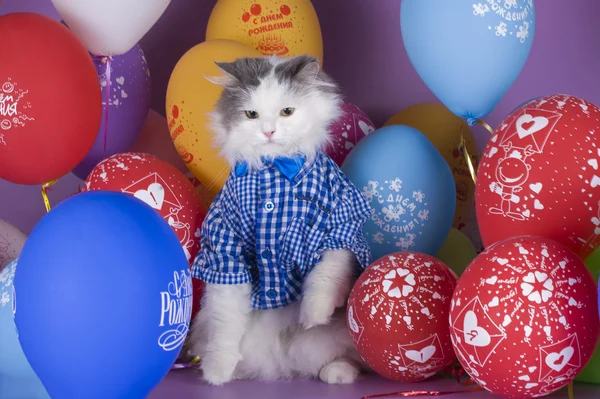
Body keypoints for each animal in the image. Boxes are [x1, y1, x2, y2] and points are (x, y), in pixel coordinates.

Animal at [185, 54, 372, 386]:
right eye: (251, 114)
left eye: (287, 112)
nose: (269, 132)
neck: (275, 172)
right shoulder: (226, 252)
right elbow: (225, 322)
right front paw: (217, 371)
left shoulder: (341, 223)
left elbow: (325, 277)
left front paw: (314, 314)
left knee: (353, 359)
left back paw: (336, 373)